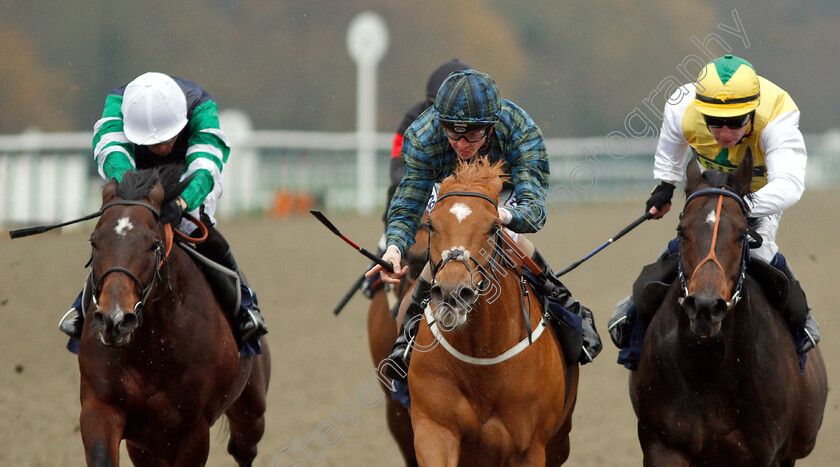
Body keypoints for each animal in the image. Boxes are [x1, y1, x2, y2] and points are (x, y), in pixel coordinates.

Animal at [77, 166, 270, 466]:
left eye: (153, 245)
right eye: (94, 242)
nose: (114, 320)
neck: (152, 349)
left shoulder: (193, 429)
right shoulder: (102, 406)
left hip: (251, 409)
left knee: (244, 448)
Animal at [406, 159, 576, 466]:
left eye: (493, 226)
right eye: (432, 224)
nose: (451, 293)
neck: (481, 356)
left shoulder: (529, 447)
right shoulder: (434, 428)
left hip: (559, 442)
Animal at [632, 154, 828, 467]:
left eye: (741, 234)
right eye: (682, 232)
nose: (705, 306)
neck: (712, 370)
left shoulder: (765, 454)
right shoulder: (664, 446)